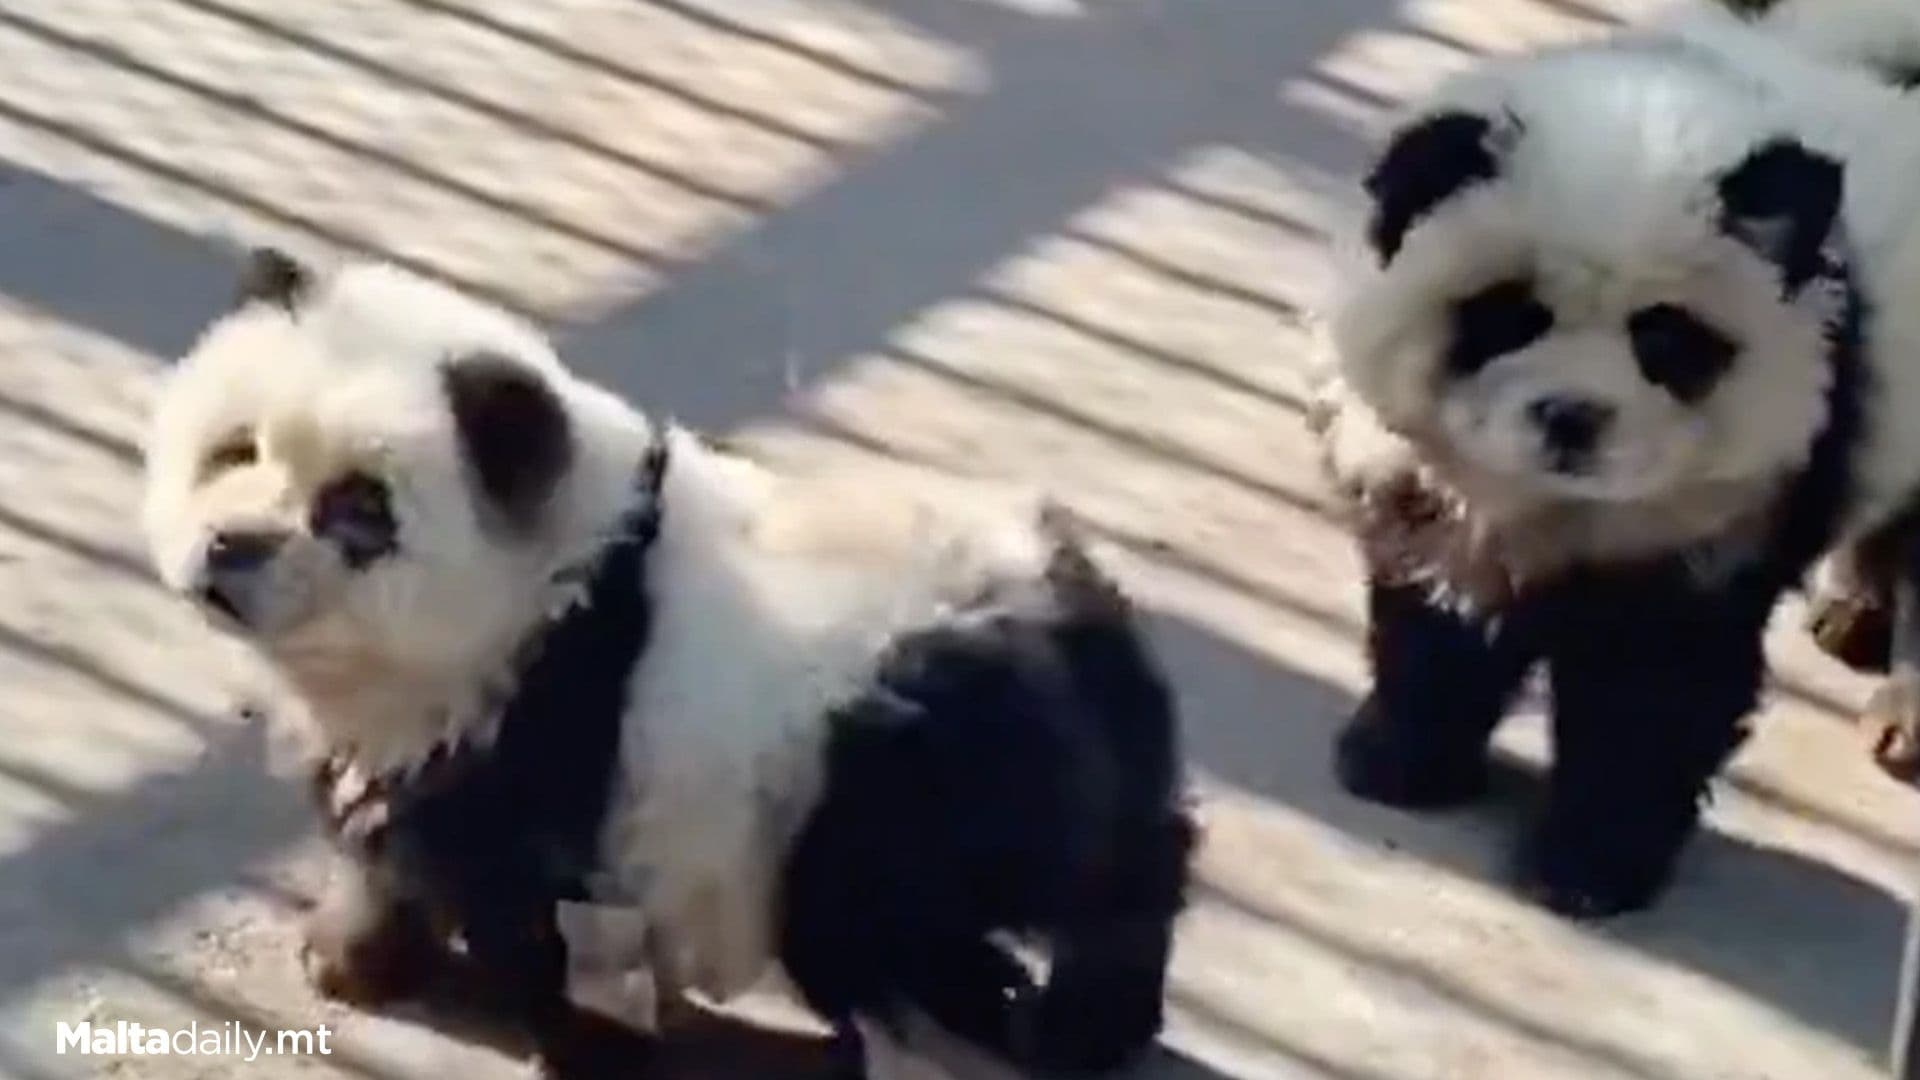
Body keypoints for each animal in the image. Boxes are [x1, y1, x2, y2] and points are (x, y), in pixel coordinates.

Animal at [141, 250, 1195, 1077]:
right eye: (233, 450)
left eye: (359, 509)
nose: (232, 548)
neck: (561, 575)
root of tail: (1080, 618)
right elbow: (393, 833)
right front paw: (354, 953)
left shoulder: (541, 720)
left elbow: (505, 890)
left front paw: (551, 1028)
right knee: (1121, 869)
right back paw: (1082, 1016)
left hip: (890, 772)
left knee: (886, 922)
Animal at [1314, 15, 1920, 917]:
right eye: (1510, 313)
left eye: (1662, 336)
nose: (1572, 418)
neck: (1563, 505)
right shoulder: (1436, 487)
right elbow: (1436, 617)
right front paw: (1397, 760)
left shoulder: (1726, 512)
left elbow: (1653, 690)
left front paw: (1588, 867)